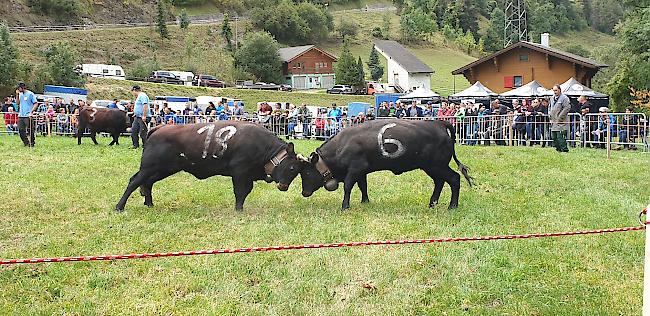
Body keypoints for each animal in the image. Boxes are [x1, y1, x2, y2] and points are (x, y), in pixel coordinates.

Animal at [116, 121, 306, 212]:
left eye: (298, 172)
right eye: (292, 168)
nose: (283, 186)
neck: (264, 147)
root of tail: (158, 128)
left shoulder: (248, 176)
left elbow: (246, 192)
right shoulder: (239, 172)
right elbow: (240, 192)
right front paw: (238, 209)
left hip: (164, 169)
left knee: (147, 183)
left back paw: (149, 204)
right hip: (149, 167)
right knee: (134, 181)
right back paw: (119, 207)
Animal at [298, 119, 470, 210]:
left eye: (306, 172)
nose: (304, 192)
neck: (342, 145)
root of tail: (438, 123)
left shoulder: (354, 169)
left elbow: (348, 186)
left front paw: (345, 206)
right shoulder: (361, 172)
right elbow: (363, 186)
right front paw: (365, 201)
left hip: (437, 166)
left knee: (454, 178)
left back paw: (452, 206)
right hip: (431, 167)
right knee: (440, 182)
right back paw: (432, 203)